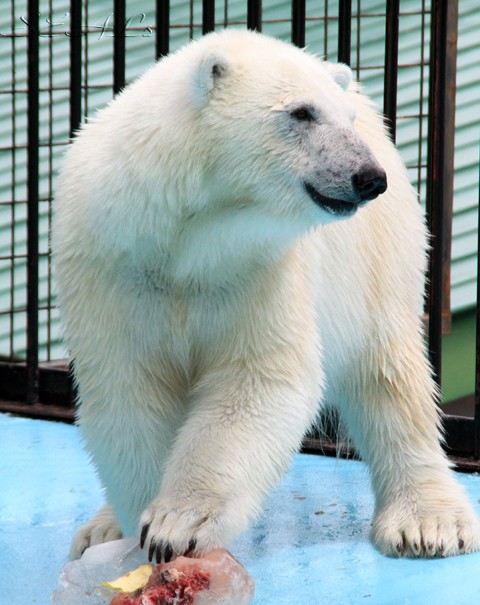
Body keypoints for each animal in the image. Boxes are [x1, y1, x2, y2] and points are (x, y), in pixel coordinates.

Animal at [52, 28, 480, 560]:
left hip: (377, 261)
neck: (187, 239)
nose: (368, 177)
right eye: (301, 112)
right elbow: (129, 388)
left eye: (346, 118)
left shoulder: (258, 269)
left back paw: (428, 522)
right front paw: (141, 531)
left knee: (388, 374)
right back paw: (100, 529)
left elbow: (258, 380)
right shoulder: (116, 263)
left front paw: (177, 522)